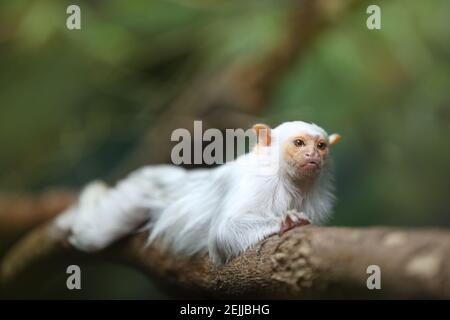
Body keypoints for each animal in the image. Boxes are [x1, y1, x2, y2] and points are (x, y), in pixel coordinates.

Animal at [53, 121, 342, 264]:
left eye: (321, 146)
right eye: (299, 143)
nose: (313, 155)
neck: (290, 181)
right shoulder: (256, 183)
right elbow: (224, 233)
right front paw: (286, 221)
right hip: (135, 193)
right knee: (92, 235)